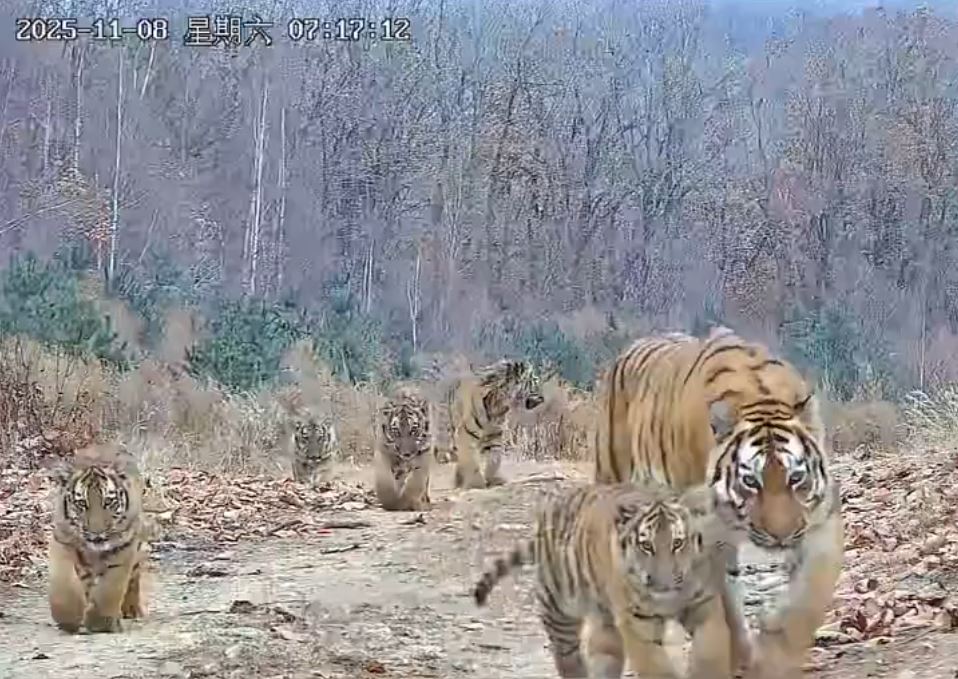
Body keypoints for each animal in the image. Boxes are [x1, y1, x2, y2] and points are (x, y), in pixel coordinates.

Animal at [48, 442, 150, 634]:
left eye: (108, 502)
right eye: (81, 503)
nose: (96, 533)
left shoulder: (124, 548)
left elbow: (110, 588)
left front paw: (100, 623)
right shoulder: (63, 541)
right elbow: (63, 585)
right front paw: (68, 620)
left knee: (134, 576)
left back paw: (131, 610)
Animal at [446, 359, 546, 489]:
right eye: (534, 382)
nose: (542, 398)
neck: (499, 405)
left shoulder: (494, 435)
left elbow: (494, 459)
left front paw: (494, 480)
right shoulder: (467, 434)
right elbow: (471, 461)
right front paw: (476, 483)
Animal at [473, 481, 733, 679]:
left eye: (677, 543)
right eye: (646, 545)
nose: (663, 583)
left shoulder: (704, 606)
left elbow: (711, 653)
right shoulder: (636, 624)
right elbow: (658, 668)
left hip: (603, 621)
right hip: (559, 606)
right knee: (566, 655)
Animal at [593, 326, 843, 679]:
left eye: (796, 478)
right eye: (750, 482)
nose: (781, 536)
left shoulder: (819, 518)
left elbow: (812, 592)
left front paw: (778, 646)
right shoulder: (706, 535)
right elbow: (726, 607)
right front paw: (745, 659)